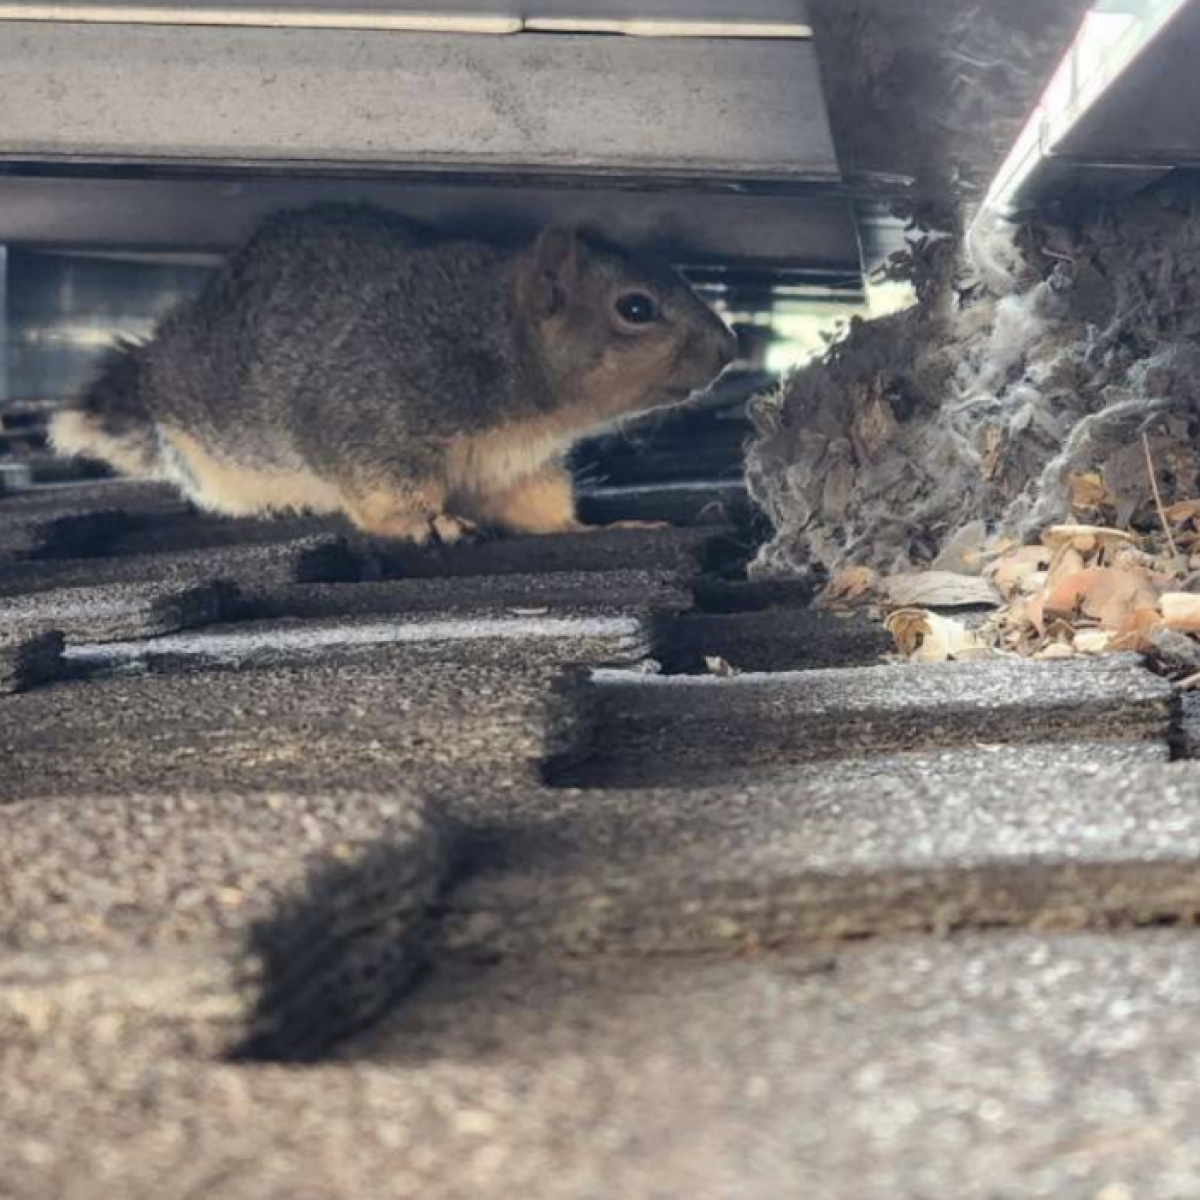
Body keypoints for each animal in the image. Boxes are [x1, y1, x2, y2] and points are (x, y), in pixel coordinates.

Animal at [51, 205, 737, 542]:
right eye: (636, 308)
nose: (730, 349)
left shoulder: (518, 466)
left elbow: (539, 507)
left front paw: (599, 525)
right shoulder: (371, 407)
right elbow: (380, 484)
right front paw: (424, 523)